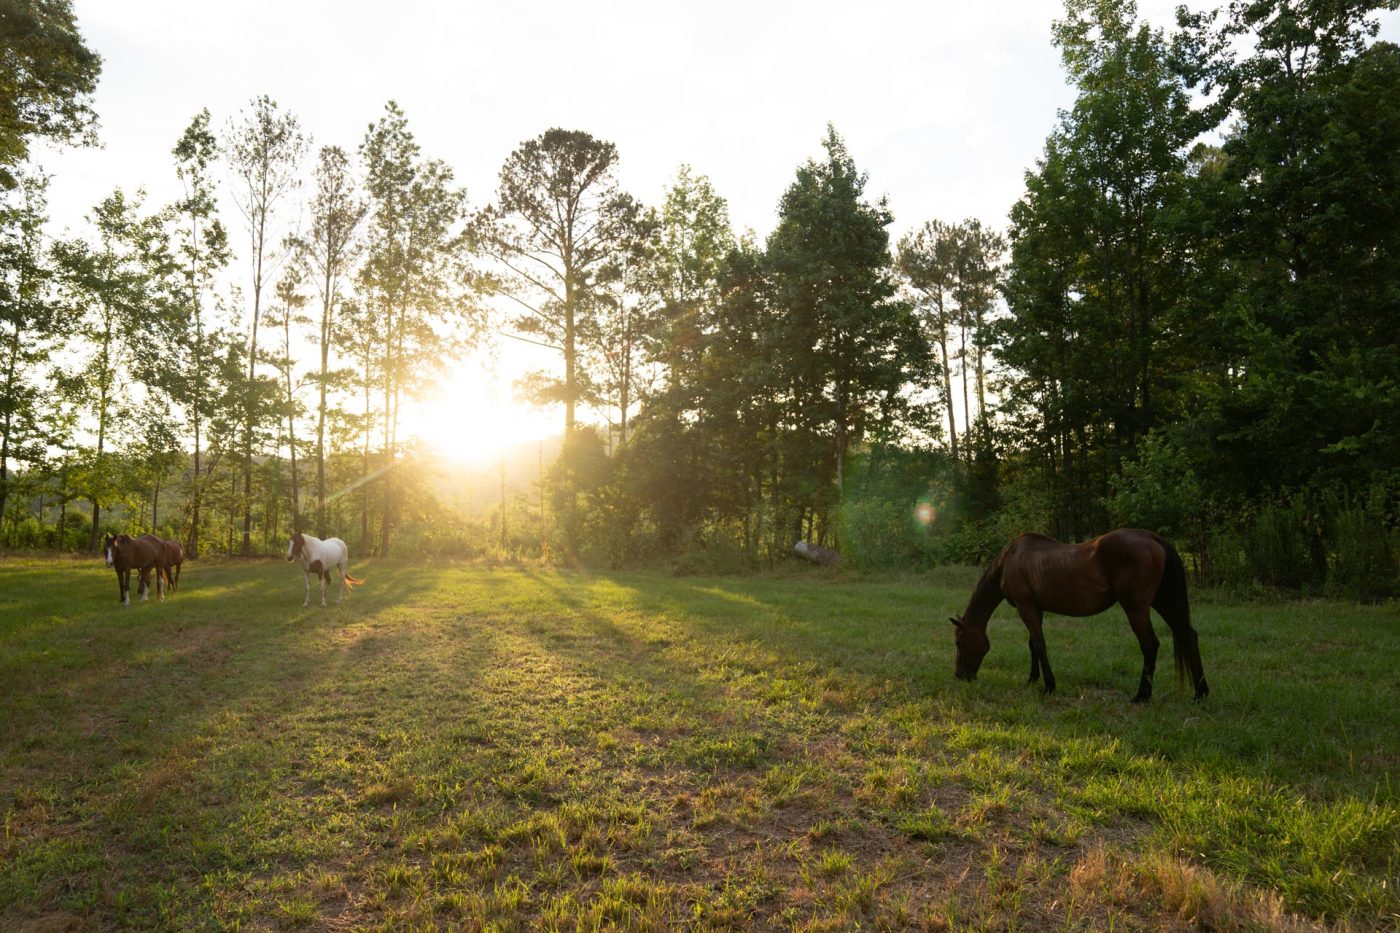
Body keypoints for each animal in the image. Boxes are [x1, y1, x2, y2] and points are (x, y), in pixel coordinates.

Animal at [950, 529, 1209, 703]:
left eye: (959, 642)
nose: (960, 676)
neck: (1009, 560)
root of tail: (1152, 538)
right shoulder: (1035, 608)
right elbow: (1033, 644)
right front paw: (1032, 679)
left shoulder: (1026, 607)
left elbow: (1039, 644)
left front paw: (1049, 686)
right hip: (1162, 602)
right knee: (1188, 635)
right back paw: (1200, 692)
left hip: (1137, 608)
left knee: (1150, 644)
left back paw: (1142, 695)